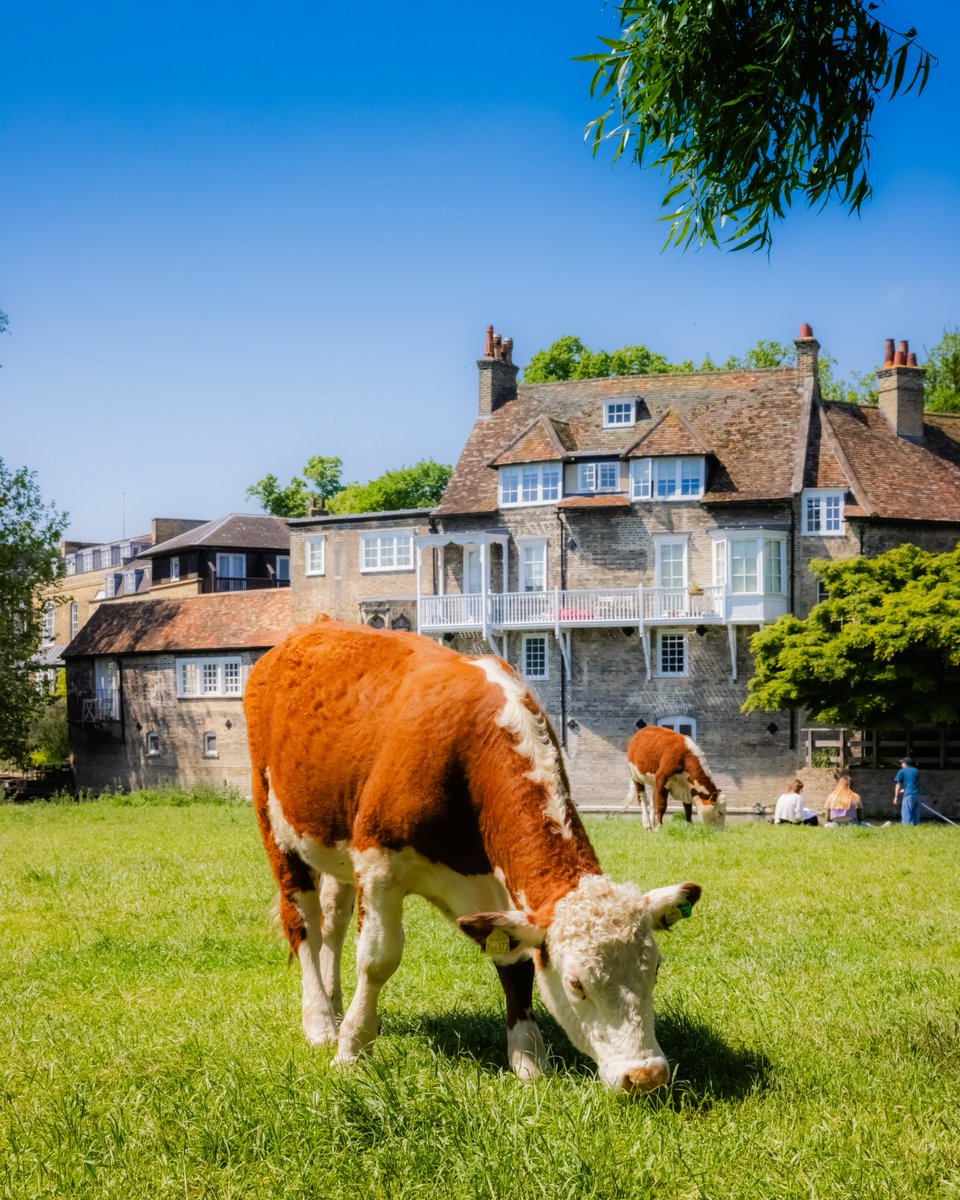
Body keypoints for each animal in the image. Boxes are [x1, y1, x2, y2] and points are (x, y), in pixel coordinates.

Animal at [243, 624, 700, 1094]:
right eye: (577, 983)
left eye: (655, 969)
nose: (645, 1074)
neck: (467, 751)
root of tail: (308, 630)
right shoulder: (378, 865)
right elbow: (377, 960)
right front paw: (352, 1049)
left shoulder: (495, 886)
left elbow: (515, 966)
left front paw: (528, 1056)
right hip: (277, 829)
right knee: (305, 927)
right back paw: (319, 1020)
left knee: (332, 923)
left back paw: (334, 1006)